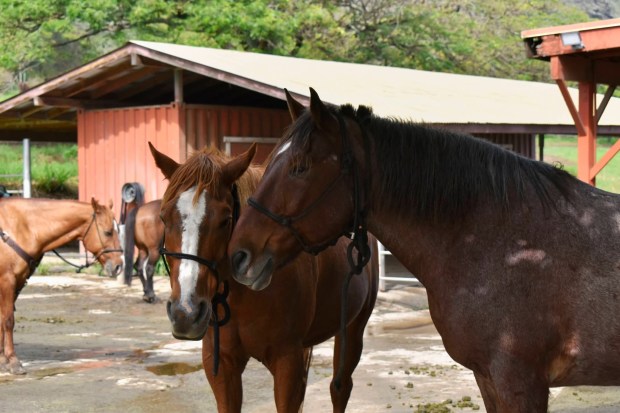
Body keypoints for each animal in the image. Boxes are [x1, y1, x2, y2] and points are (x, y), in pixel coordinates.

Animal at [0, 197, 124, 374]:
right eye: (107, 232)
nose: (118, 266)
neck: (19, 228)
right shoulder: (7, 281)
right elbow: (8, 320)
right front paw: (13, 361)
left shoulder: (16, 283)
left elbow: (2, 320)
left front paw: (3, 359)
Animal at [148, 142, 379, 413]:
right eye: (163, 217)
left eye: (226, 219)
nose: (185, 314)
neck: (245, 296)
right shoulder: (222, 365)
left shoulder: (287, 362)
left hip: (352, 328)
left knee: (340, 388)